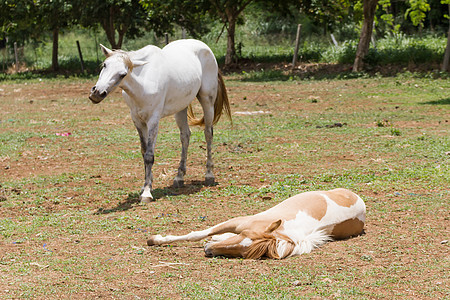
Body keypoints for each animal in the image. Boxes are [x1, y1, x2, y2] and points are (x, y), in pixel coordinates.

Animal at [90, 39, 232, 204]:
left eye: (123, 74)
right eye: (104, 65)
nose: (97, 93)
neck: (143, 81)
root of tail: (204, 47)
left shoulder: (153, 120)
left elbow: (149, 155)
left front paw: (146, 192)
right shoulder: (137, 120)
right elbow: (144, 151)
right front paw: (147, 184)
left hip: (207, 101)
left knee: (208, 134)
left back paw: (209, 175)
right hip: (180, 108)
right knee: (185, 136)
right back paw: (179, 177)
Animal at [148, 189, 366, 258]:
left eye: (244, 254)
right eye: (245, 235)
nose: (208, 251)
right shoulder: (236, 222)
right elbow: (197, 234)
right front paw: (155, 239)